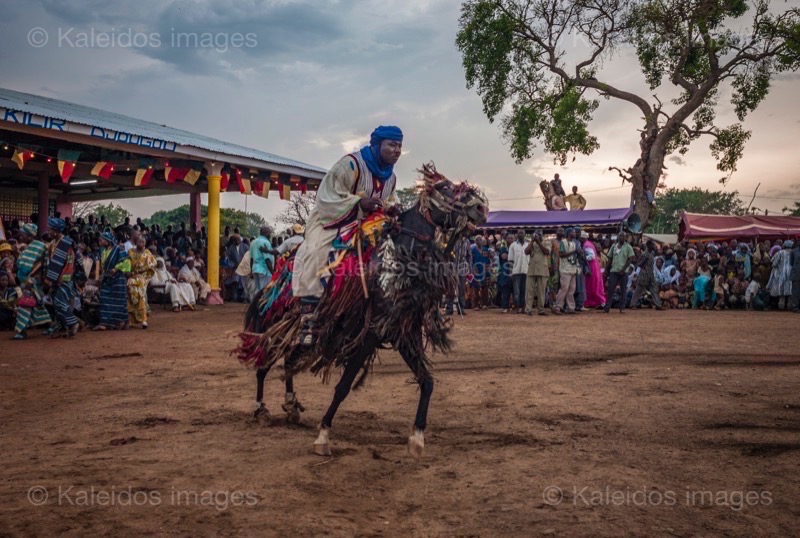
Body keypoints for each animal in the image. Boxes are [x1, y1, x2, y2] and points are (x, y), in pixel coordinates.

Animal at [236, 163, 488, 456]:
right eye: (445, 187)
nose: (481, 207)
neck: (399, 262)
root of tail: (273, 282)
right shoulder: (368, 334)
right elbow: (344, 386)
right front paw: (323, 435)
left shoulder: (402, 334)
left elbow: (427, 382)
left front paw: (417, 437)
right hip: (274, 326)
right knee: (263, 365)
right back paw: (261, 409)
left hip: (301, 335)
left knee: (287, 363)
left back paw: (290, 404)